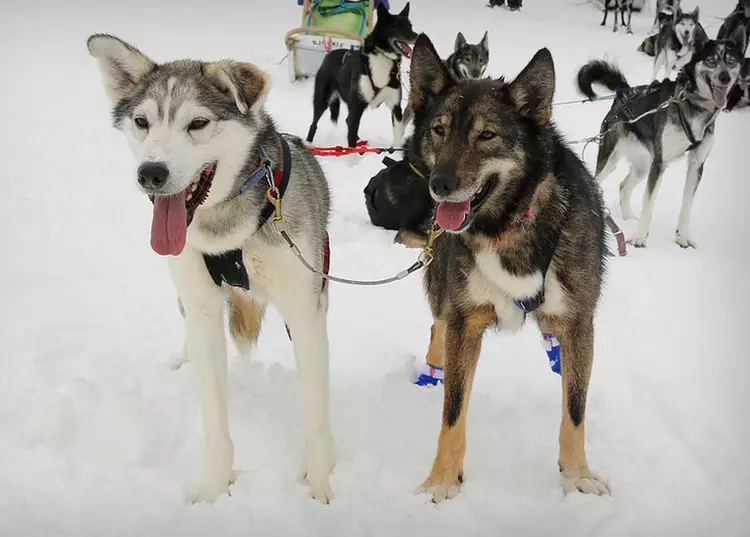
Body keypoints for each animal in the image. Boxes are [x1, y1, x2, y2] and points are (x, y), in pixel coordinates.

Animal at [306, 2, 418, 148]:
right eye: (399, 27)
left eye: (410, 26)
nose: (417, 35)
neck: (382, 57)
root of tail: (329, 55)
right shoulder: (357, 106)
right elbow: (351, 139)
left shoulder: (395, 107)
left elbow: (398, 136)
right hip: (322, 100)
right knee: (314, 123)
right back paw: (308, 143)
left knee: (347, 120)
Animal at [408, 33, 612, 502]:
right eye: (439, 130)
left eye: (487, 135)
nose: (440, 184)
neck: (509, 224)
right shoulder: (466, 320)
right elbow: (453, 411)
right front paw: (442, 479)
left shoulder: (579, 323)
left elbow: (575, 409)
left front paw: (577, 475)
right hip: (445, 291)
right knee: (437, 326)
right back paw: (432, 370)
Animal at [580, 25, 748, 249]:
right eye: (712, 60)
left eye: (731, 61)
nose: (725, 77)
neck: (694, 105)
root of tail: (625, 92)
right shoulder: (660, 163)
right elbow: (649, 202)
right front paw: (640, 237)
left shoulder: (696, 164)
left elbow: (687, 205)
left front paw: (682, 237)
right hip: (612, 159)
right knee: (596, 182)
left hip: (643, 166)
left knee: (624, 186)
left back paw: (628, 218)